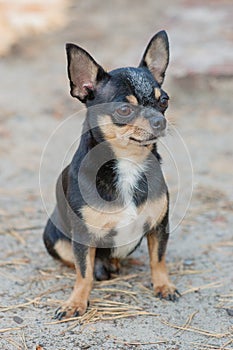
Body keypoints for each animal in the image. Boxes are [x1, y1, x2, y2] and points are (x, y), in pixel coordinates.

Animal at [42, 30, 179, 320]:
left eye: (164, 101)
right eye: (124, 110)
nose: (160, 121)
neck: (129, 162)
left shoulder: (159, 227)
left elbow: (158, 259)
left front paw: (163, 285)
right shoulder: (83, 238)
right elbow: (83, 273)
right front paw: (76, 302)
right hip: (52, 237)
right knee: (77, 262)